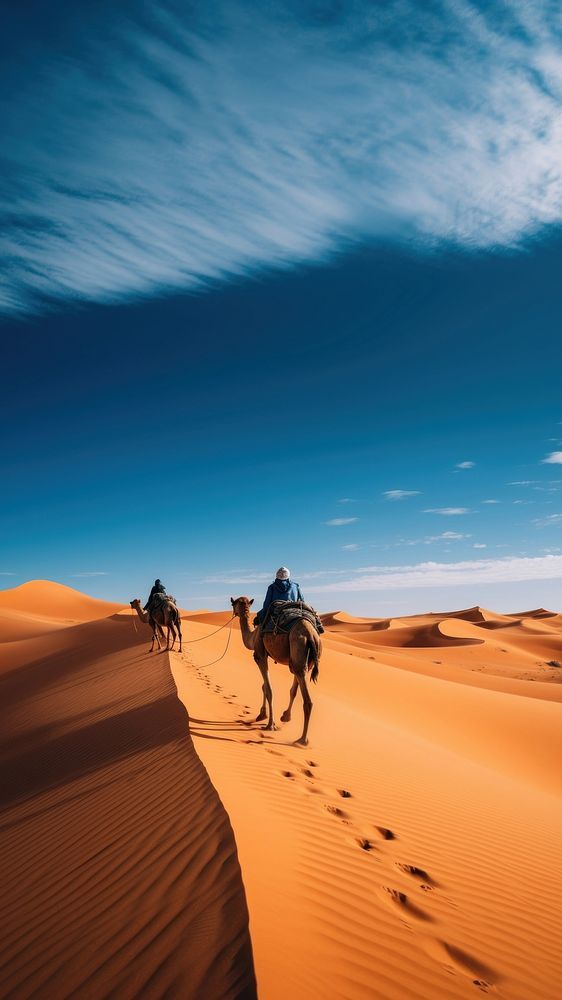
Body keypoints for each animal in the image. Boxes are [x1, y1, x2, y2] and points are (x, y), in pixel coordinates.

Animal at [230, 596, 322, 748]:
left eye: (233, 604)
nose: (234, 613)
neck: (252, 636)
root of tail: (310, 634)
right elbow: (266, 686)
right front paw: (264, 715)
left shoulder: (260, 655)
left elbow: (268, 688)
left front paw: (269, 724)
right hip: (303, 662)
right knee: (297, 685)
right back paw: (286, 717)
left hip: (298, 647)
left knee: (308, 701)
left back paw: (302, 740)